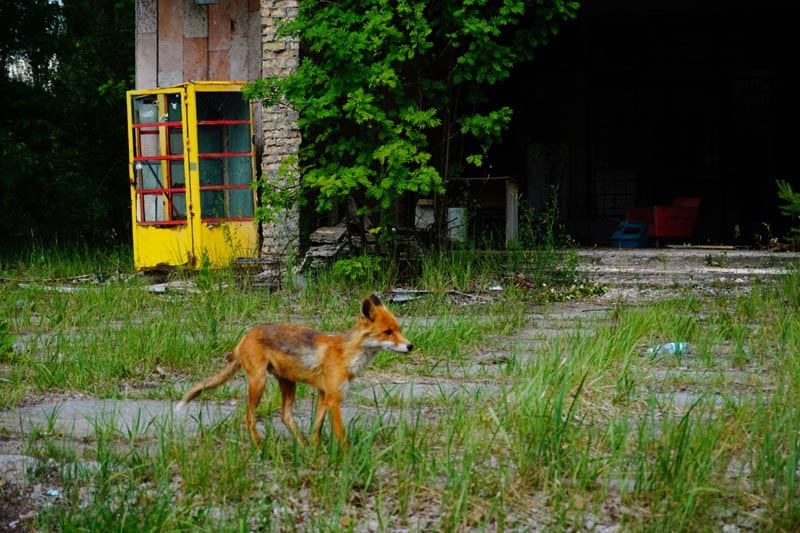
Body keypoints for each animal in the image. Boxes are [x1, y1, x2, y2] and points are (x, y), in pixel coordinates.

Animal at [176, 294, 412, 446]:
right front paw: (345, 460)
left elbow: (317, 428)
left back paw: (302, 444)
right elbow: (340, 435)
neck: (347, 355)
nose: (410, 346)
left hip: (289, 383)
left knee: (285, 416)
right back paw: (259, 445)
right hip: (259, 382)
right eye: (388, 332)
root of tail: (246, 335)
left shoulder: (324, 395)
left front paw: (315, 451)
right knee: (249, 416)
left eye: (398, 329)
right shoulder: (334, 399)